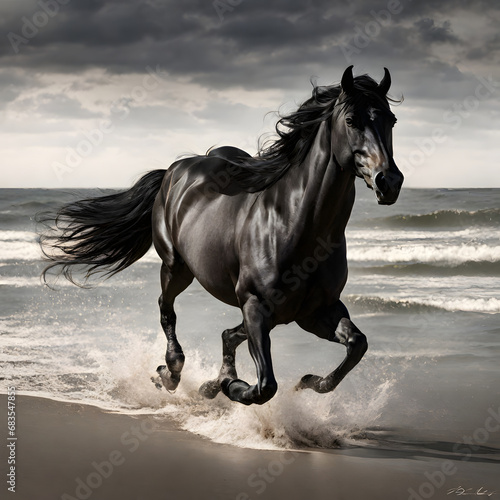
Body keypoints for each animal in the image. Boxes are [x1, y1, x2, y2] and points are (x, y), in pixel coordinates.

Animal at [41, 66, 404, 408]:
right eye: (351, 120)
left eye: (392, 120)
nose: (389, 181)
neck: (295, 225)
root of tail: (175, 169)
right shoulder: (257, 307)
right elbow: (265, 387)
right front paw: (228, 385)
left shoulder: (316, 312)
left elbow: (356, 345)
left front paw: (304, 382)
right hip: (176, 267)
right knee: (167, 310)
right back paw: (170, 373)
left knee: (228, 334)